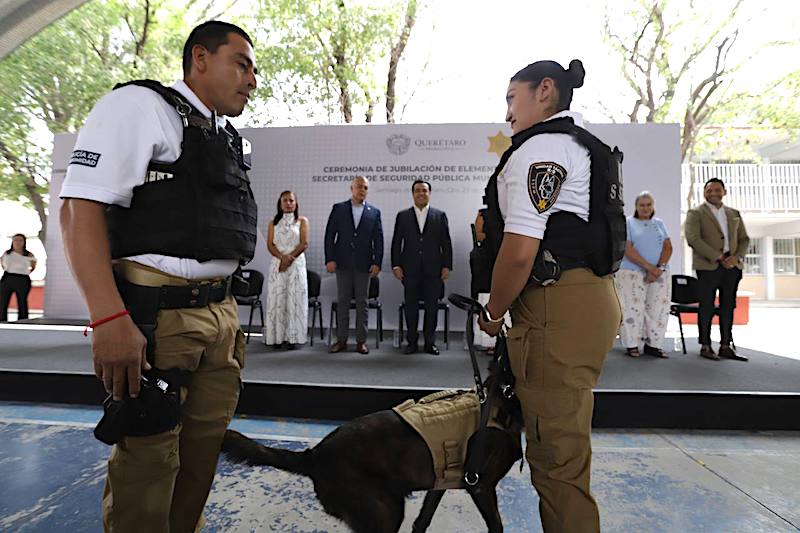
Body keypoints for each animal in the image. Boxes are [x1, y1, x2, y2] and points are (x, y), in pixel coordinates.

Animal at [220, 358, 520, 532]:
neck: (502, 398)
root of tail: (314, 455)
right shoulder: (480, 486)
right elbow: (496, 526)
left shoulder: (442, 481)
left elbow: (422, 520)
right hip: (384, 513)